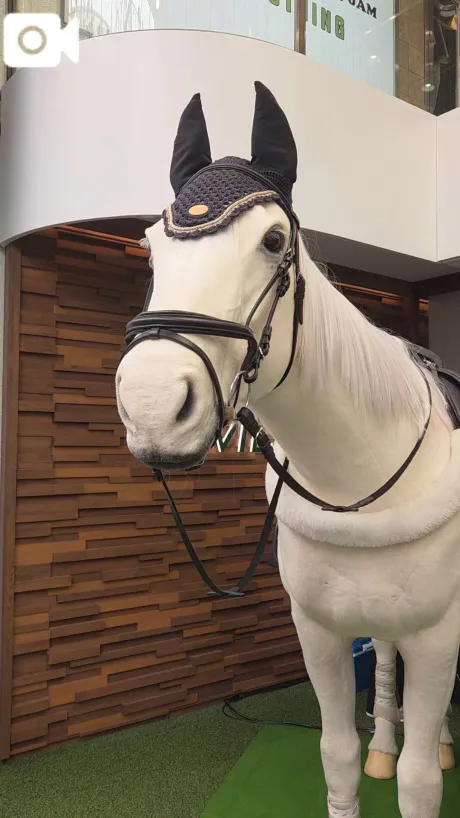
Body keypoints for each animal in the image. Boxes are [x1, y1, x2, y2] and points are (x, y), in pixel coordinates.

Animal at [115, 81, 460, 818]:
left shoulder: (438, 635)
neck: (358, 481)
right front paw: (372, 756)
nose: (153, 406)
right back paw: (385, 742)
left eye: (274, 241)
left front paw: (425, 756)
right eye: (150, 246)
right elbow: (336, 756)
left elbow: (422, 782)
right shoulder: (320, 633)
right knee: (383, 661)